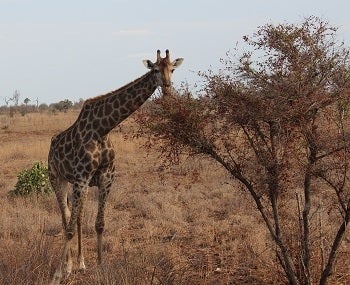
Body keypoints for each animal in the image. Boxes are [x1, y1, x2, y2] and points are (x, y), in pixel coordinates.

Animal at [49, 49, 185, 284]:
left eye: (172, 69)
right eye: (155, 70)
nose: (168, 91)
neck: (103, 128)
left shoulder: (106, 176)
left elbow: (99, 224)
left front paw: (101, 267)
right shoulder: (82, 177)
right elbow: (69, 228)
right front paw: (58, 274)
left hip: (76, 184)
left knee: (77, 217)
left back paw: (80, 264)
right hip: (57, 179)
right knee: (65, 218)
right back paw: (68, 267)